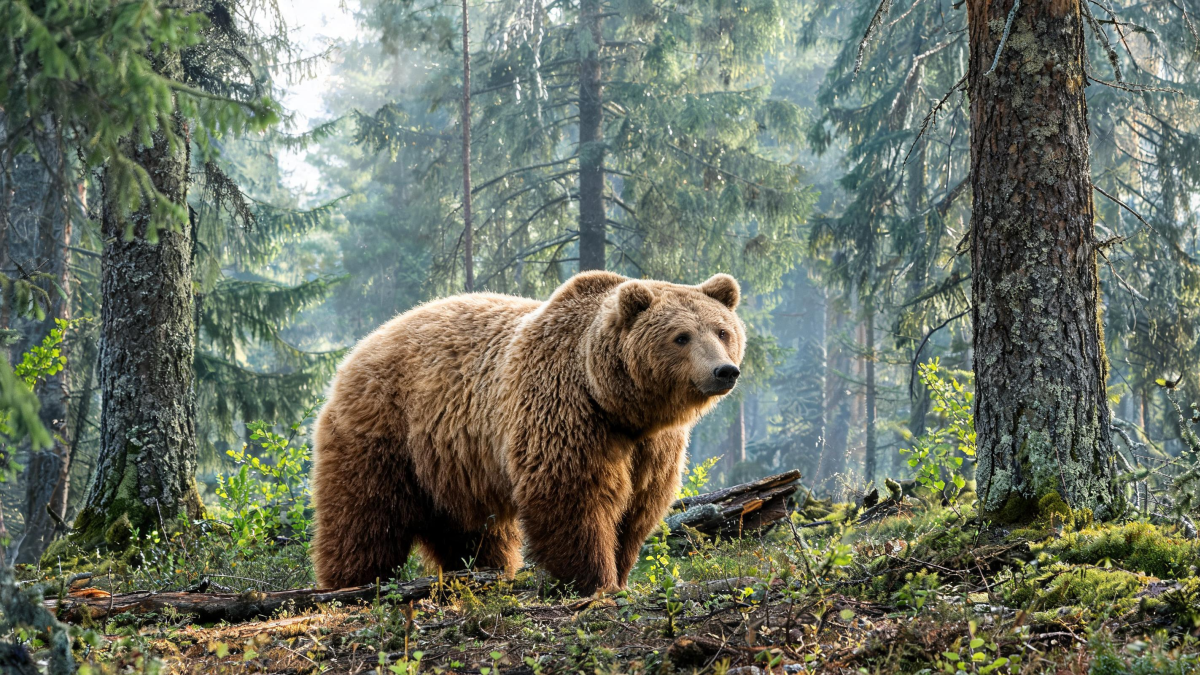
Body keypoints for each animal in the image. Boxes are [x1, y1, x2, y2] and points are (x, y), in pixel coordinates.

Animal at [310, 270, 745, 594]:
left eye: (722, 331)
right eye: (681, 336)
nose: (724, 371)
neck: (617, 403)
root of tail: (358, 350)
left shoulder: (651, 446)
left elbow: (639, 507)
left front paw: (620, 572)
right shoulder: (566, 410)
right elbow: (571, 494)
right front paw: (593, 581)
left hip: (450, 463)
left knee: (469, 531)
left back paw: (482, 572)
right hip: (386, 430)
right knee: (365, 515)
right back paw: (351, 584)